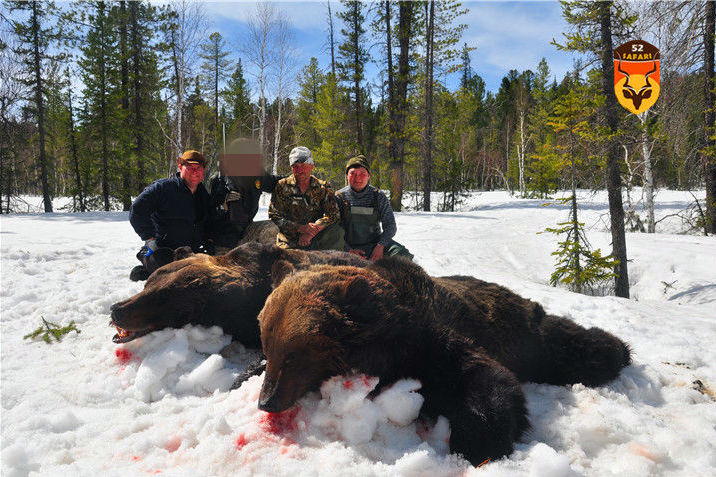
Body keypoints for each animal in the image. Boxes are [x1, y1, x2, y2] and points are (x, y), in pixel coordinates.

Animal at [258, 256, 632, 464]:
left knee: (573, 346)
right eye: (267, 344)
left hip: (529, 335)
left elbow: (484, 375)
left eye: (294, 355)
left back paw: (617, 349)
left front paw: (479, 441)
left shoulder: (429, 341)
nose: (266, 401)